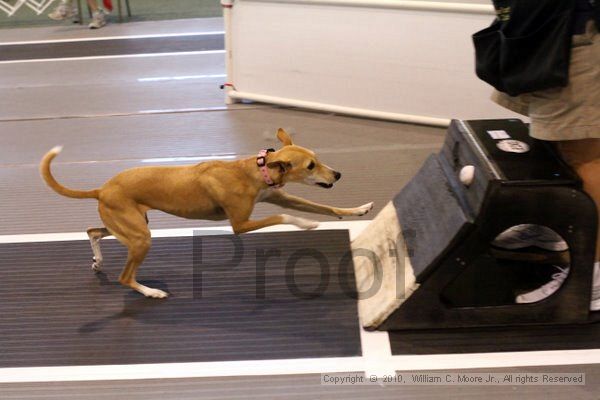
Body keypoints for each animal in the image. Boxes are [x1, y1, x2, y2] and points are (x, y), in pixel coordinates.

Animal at [39, 130, 372, 298]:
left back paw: (98, 261)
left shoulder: (282, 198)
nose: (338, 174)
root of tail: (100, 189)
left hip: (132, 227)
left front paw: (357, 209)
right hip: (140, 238)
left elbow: (324, 206)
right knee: (124, 277)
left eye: (318, 158)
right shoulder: (240, 224)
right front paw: (305, 223)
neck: (256, 170)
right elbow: (283, 218)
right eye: (311, 166)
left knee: (93, 231)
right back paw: (151, 292)